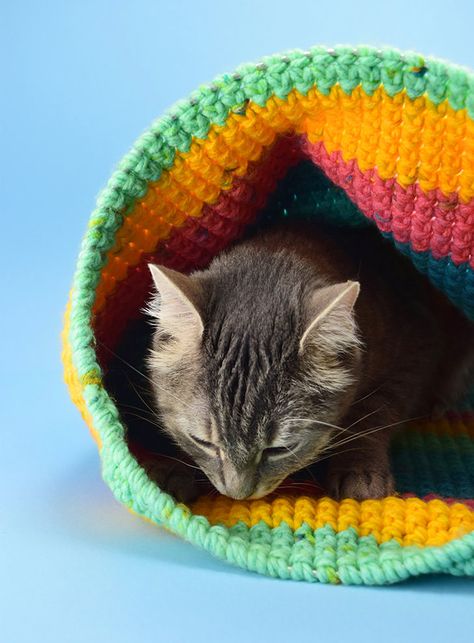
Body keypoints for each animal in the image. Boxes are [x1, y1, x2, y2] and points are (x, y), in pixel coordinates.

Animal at [143, 221, 474, 504]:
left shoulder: (416, 351)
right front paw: (173, 466)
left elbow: (373, 412)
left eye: (280, 449)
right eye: (203, 442)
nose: (238, 495)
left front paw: (359, 468)